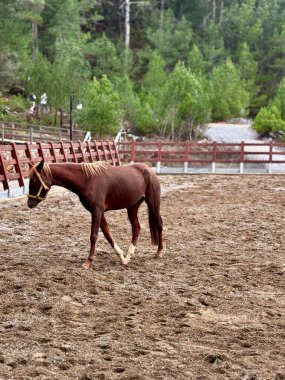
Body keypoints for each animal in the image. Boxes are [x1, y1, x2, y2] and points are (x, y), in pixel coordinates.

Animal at [28, 161, 164, 270]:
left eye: (33, 179)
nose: (30, 203)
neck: (87, 180)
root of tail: (149, 171)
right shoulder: (99, 212)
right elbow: (108, 234)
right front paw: (121, 257)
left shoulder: (97, 211)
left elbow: (93, 236)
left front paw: (88, 261)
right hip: (132, 207)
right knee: (136, 228)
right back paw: (129, 255)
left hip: (153, 203)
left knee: (159, 224)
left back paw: (159, 252)